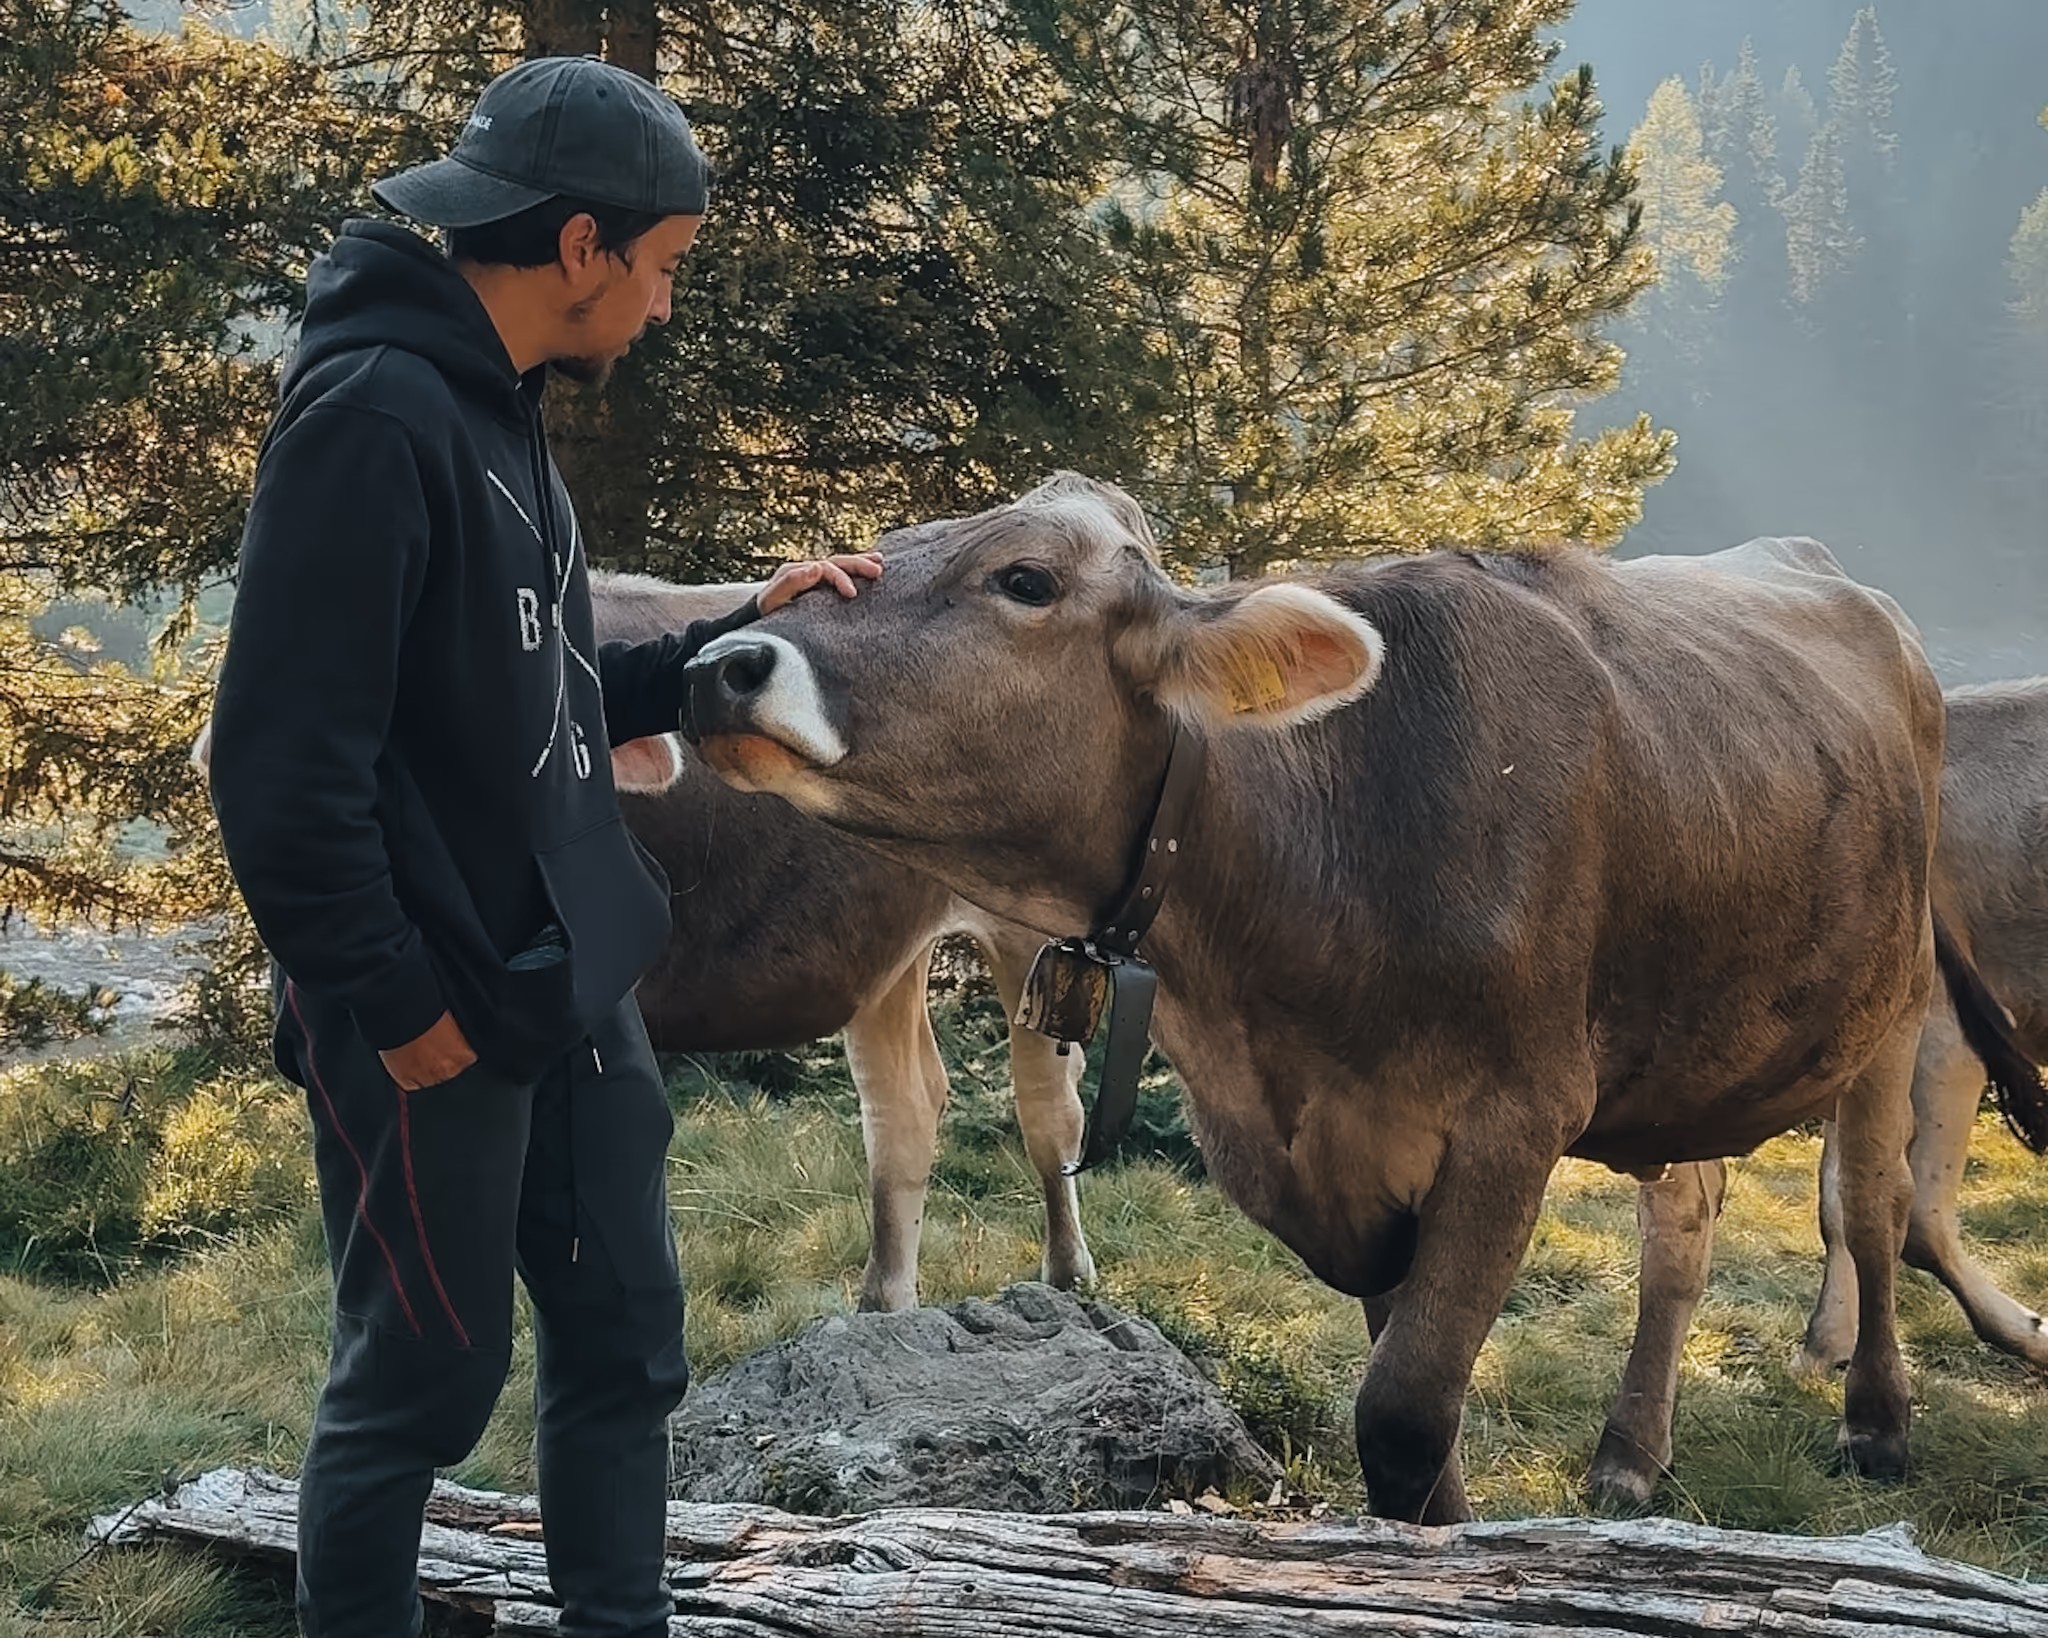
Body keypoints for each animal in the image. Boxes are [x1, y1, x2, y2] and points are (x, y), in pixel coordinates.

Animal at [190, 568, 1098, 1315]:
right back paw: (885, 1301)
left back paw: (1065, 1275)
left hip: (1028, 931)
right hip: (887, 949)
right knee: (904, 1105)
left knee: (1047, 1105)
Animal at [675, 470, 2042, 1523]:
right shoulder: (1355, 1155)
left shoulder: (1510, 1124)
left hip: (1888, 1009)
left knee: (1871, 1206)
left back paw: (1873, 1420)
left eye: (1023, 581)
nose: (722, 662)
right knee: (1685, 1221)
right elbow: (1412, 1409)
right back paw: (1627, 1454)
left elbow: (1400, 1412)